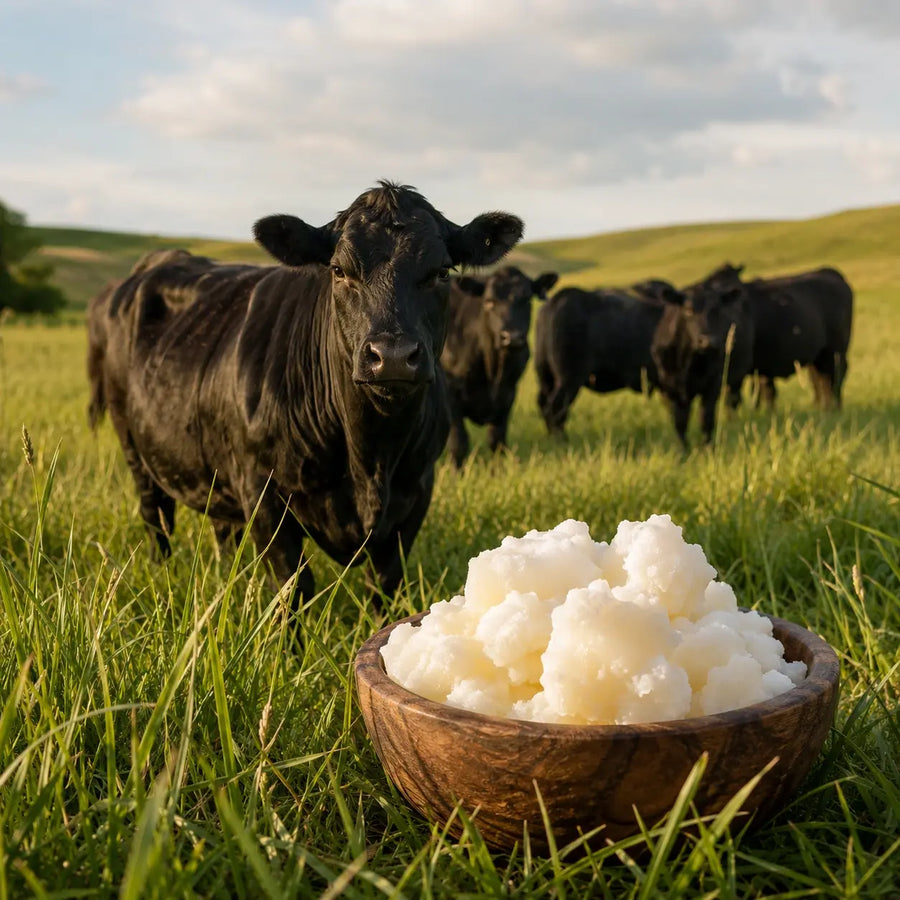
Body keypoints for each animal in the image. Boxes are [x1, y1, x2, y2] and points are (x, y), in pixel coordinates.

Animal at [87, 181, 524, 621]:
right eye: (339, 270)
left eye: (441, 272)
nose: (393, 355)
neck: (370, 456)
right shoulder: (262, 494)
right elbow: (292, 587)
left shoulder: (416, 491)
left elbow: (383, 585)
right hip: (134, 446)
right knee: (156, 517)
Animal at [440, 265, 558, 467]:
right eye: (488, 302)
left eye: (527, 299)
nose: (512, 337)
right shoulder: (449, 392)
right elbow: (458, 443)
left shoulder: (508, 395)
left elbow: (497, 441)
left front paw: (498, 470)